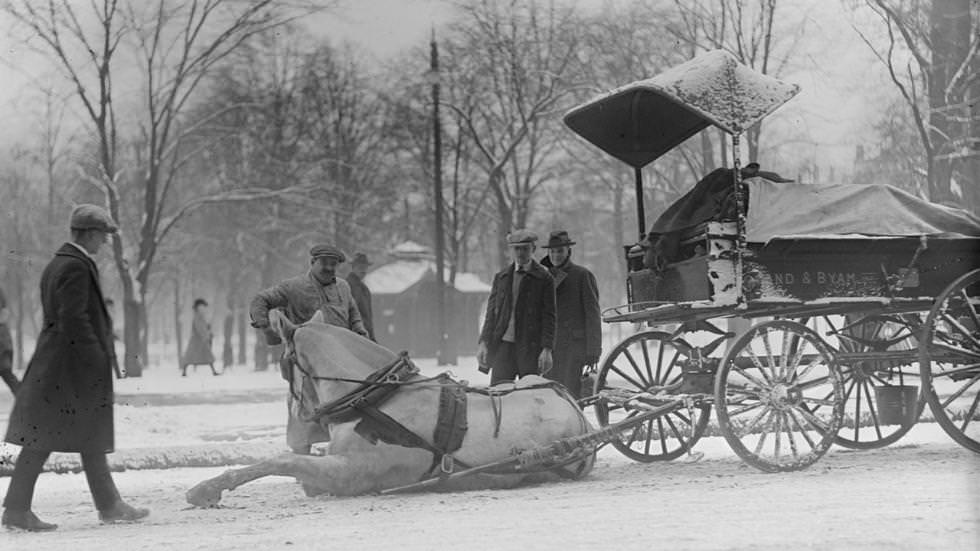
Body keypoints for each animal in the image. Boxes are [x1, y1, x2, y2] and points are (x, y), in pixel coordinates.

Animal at [186, 310, 596, 508]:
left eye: (284, 367)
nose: (298, 426)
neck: (375, 400)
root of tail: (579, 413)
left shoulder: (350, 475)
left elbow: (283, 463)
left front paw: (207, 488)